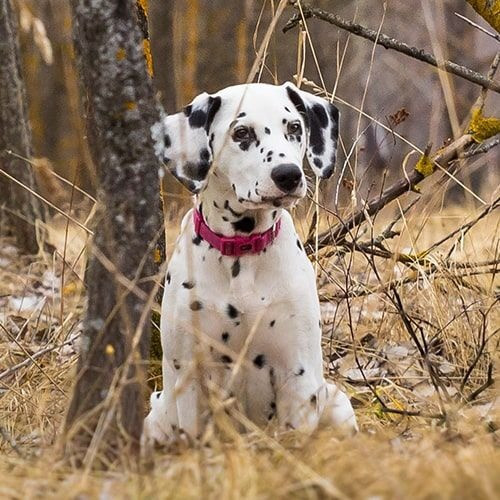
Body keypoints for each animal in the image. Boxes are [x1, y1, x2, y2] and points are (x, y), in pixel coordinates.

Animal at [143, 82, 358, 446]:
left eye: (294, 128)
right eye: (241, 133)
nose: (288, 175)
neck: (241, 253)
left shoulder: (297, 373)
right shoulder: (191, 376)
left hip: (335, 401)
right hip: (157, 416)